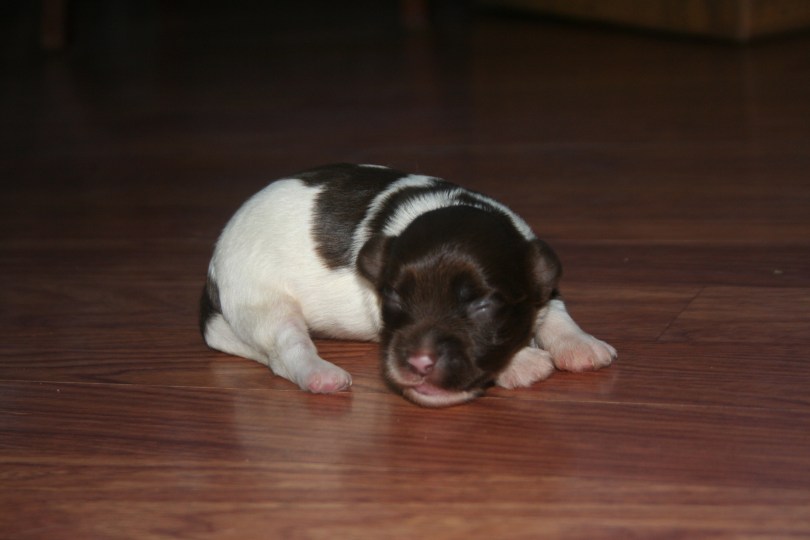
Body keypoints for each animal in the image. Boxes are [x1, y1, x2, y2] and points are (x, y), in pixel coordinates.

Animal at [200, 164, 616, 407]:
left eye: (483, 306)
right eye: (394, 299)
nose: (418, 362)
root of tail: (212, 273)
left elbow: (554, 309)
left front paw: (580, 344)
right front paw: (522, 363)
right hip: (264, 301)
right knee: (285, 350)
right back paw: (322, 375)